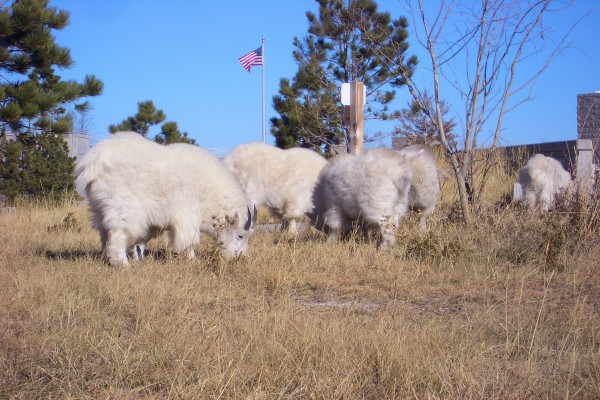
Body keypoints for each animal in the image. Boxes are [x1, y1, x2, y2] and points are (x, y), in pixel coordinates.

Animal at [75, 133, 255, 268]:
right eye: (240, 235)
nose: (239, 258)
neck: (210, 195)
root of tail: (93, 162)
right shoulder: (187, 217)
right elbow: (189, 241)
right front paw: (193, 260)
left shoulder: (156, 221)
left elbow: (144, 238)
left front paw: (137, 254)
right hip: (123, 207)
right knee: (116, 233)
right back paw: (122, 264)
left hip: (100, 207)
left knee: (103, 232)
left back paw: (106, 258)